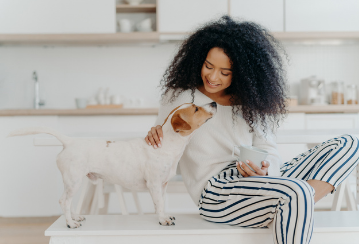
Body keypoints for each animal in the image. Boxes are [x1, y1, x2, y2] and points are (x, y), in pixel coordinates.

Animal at [7, 102, 217, 228]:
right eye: (196, 108)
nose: (214, 102)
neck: (167, 146)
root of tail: (69, 141)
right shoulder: (155, 185)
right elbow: (158, 204)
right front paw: (162, 220)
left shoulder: (163, 185)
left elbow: (162, 204)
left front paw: (165, 215)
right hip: (74, 181)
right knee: (63, 201)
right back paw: (70, 223)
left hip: (74, 183)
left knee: (68, 201)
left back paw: (75, 217)